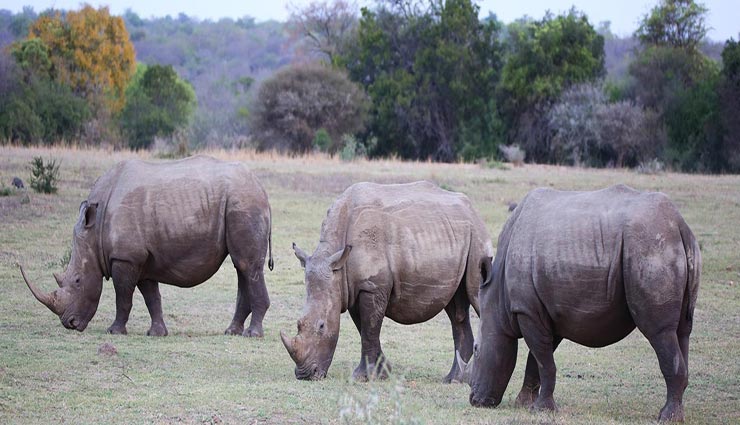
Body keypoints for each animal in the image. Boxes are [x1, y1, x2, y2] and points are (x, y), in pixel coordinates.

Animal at [20, 155, 273, 337]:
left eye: (77, 280)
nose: (69, 323)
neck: (95, 230)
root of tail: (262, 189)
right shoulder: (139, 258)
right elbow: (151, 296)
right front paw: (157, 333)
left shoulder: (125, 257)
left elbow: (123, 296)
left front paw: (114, 331)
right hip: (240, 202)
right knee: (241, 267)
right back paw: (231, 332)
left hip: (244, 204)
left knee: (247, 266)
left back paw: (252, 334)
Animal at [282, 181, 493, 382]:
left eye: (322, 326)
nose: (305, 375)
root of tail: (473, 210)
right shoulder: (352, 288)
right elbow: (365, 329)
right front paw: (383, 373)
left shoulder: (372, 287)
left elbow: (369, 330)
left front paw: (361, 377)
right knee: (455, 309)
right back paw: (453, 380)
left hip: (477, 236)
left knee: (478, 296)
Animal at [466, 185, 700, 422]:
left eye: (476, 350)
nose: (474, 400)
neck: (497, 294)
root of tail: (679, 225)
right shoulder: (548, 311)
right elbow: (538, 361)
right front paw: (524, 404)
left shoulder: (527, 310)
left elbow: (543, 361)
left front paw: (541, 409)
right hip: (666, 246)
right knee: (682, 331)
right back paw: (674, 413)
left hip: (649, 246)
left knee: (659, 332)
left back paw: (667, 417)